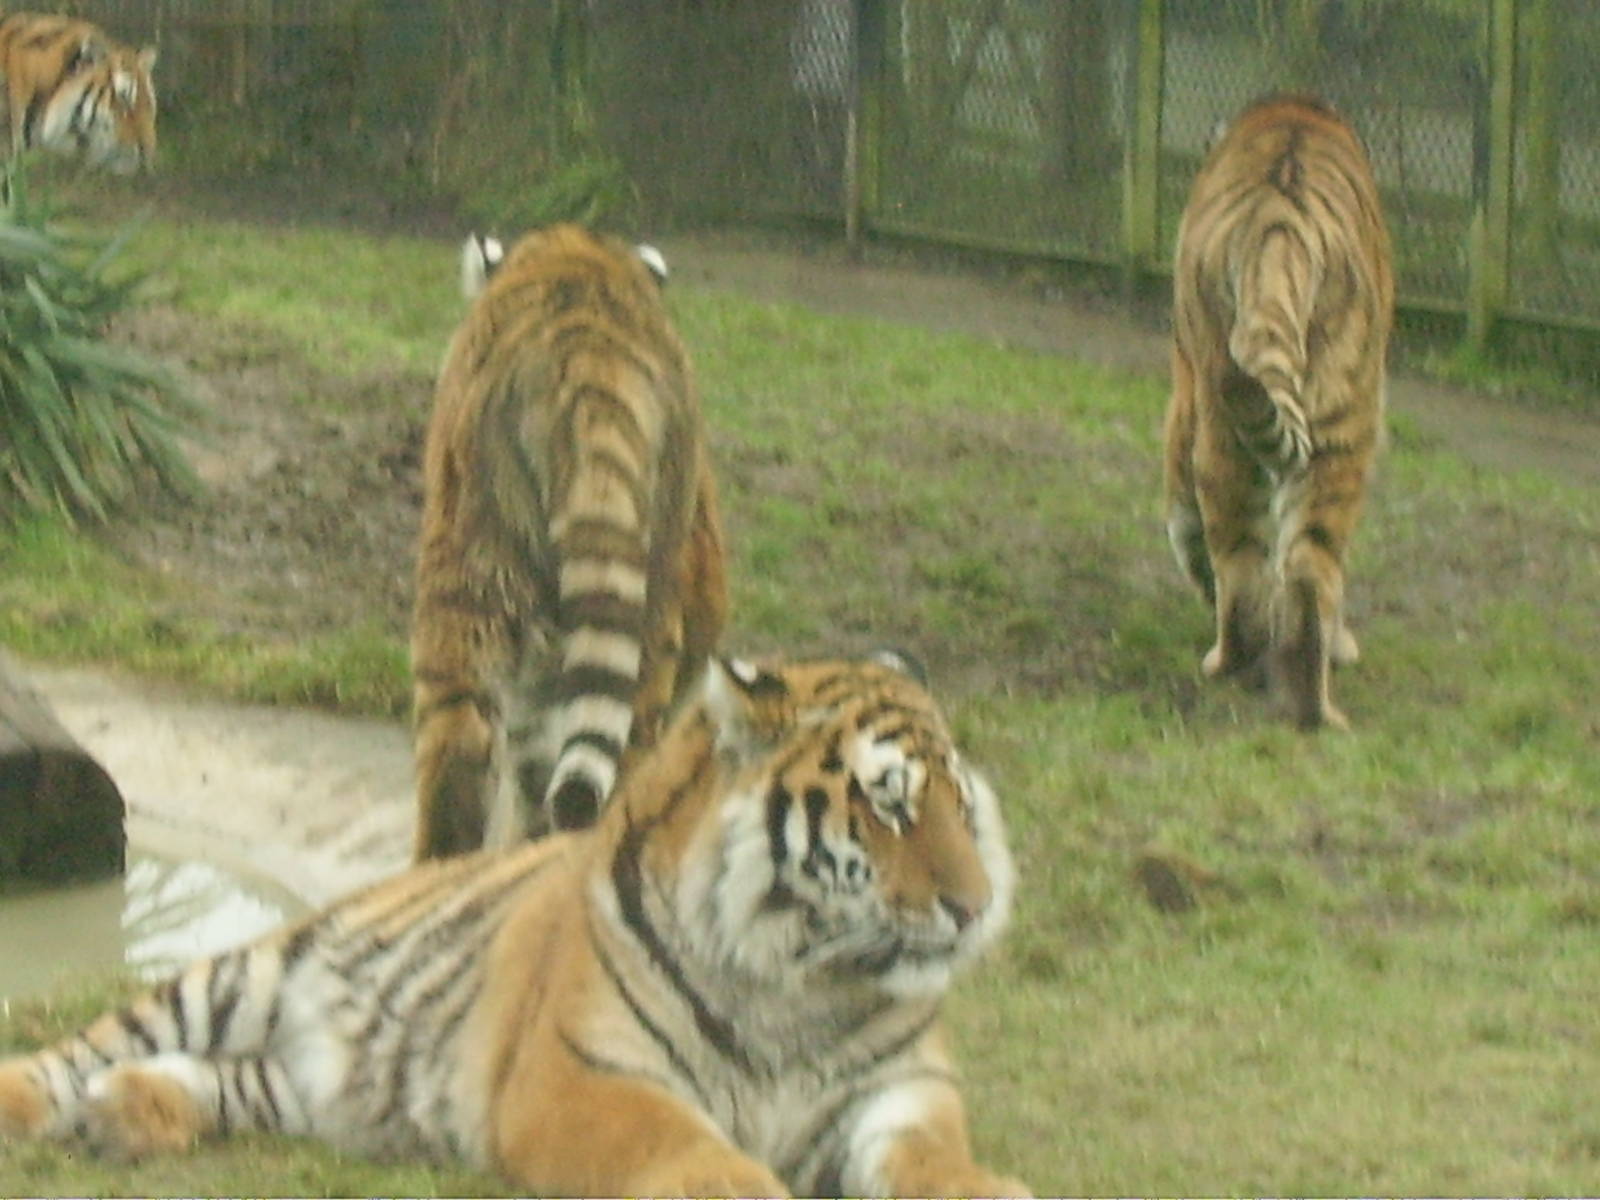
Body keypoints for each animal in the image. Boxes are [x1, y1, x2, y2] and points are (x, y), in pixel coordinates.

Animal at [0, 652, 1028, 1199]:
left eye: (958, 805)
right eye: (889, 806)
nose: (975, 906)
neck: (801, 980)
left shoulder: (900, 1087)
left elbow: (932, 1155)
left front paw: (988, 1189)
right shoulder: (581, 1076)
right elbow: (678, 1139)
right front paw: (737, 1178)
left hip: (311, 1087)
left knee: (217, 1078)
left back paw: (127, 1114)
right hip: (241, 974)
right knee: (80, 1051)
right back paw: (54, 1105)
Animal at [1164, 92, 1394, 730]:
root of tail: (1280, 224)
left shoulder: (1185, 395)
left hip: (1235, 422)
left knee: (1256, 570)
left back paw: (1246, 675)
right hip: (1334, 428)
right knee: (1299, 570)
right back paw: (1304, 702)